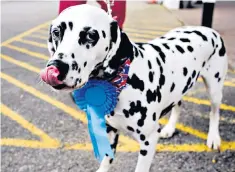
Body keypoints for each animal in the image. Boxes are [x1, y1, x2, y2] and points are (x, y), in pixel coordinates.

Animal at [40, 3, 228, 172]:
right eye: (56, 32)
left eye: (91, 36)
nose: (56, 67)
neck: (123, 81)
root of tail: (207, 28)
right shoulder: (110, 130)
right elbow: (106, 160)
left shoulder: (149, 140)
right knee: (178, 104)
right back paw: (170, 128)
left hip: (214, 89)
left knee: (214, 112)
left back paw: (213, 137)